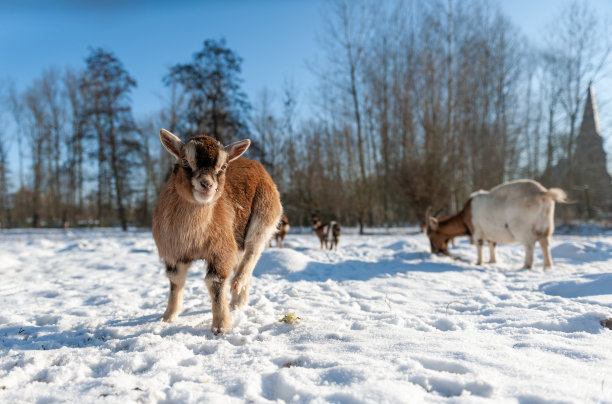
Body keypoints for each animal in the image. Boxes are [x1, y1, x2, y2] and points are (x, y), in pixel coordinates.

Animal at [153, 129, 282, 334]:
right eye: (185, 161)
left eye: (223, 167)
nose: (206, 184)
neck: (193, 237)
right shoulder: (173, 253)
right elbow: (175, 282)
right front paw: (167, 318)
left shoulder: (221, 251)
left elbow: (215, 283)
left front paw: (221, 327)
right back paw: (238, 302)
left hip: (265, 216)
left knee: (252, 253)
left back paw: (237, 286)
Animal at [426, 179, 568, 268]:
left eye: (430, 234)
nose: (434, 251)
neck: (466, 213)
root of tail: (541, 193)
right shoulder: (490, 233)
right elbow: (492, 244)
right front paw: (491, 261)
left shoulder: (477, 230)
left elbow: (479, 245)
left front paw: (478, 262)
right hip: (546, 224)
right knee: (545, 243)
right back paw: (547, 266)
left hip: (522, 227)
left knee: (529, 244)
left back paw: (526, 265)